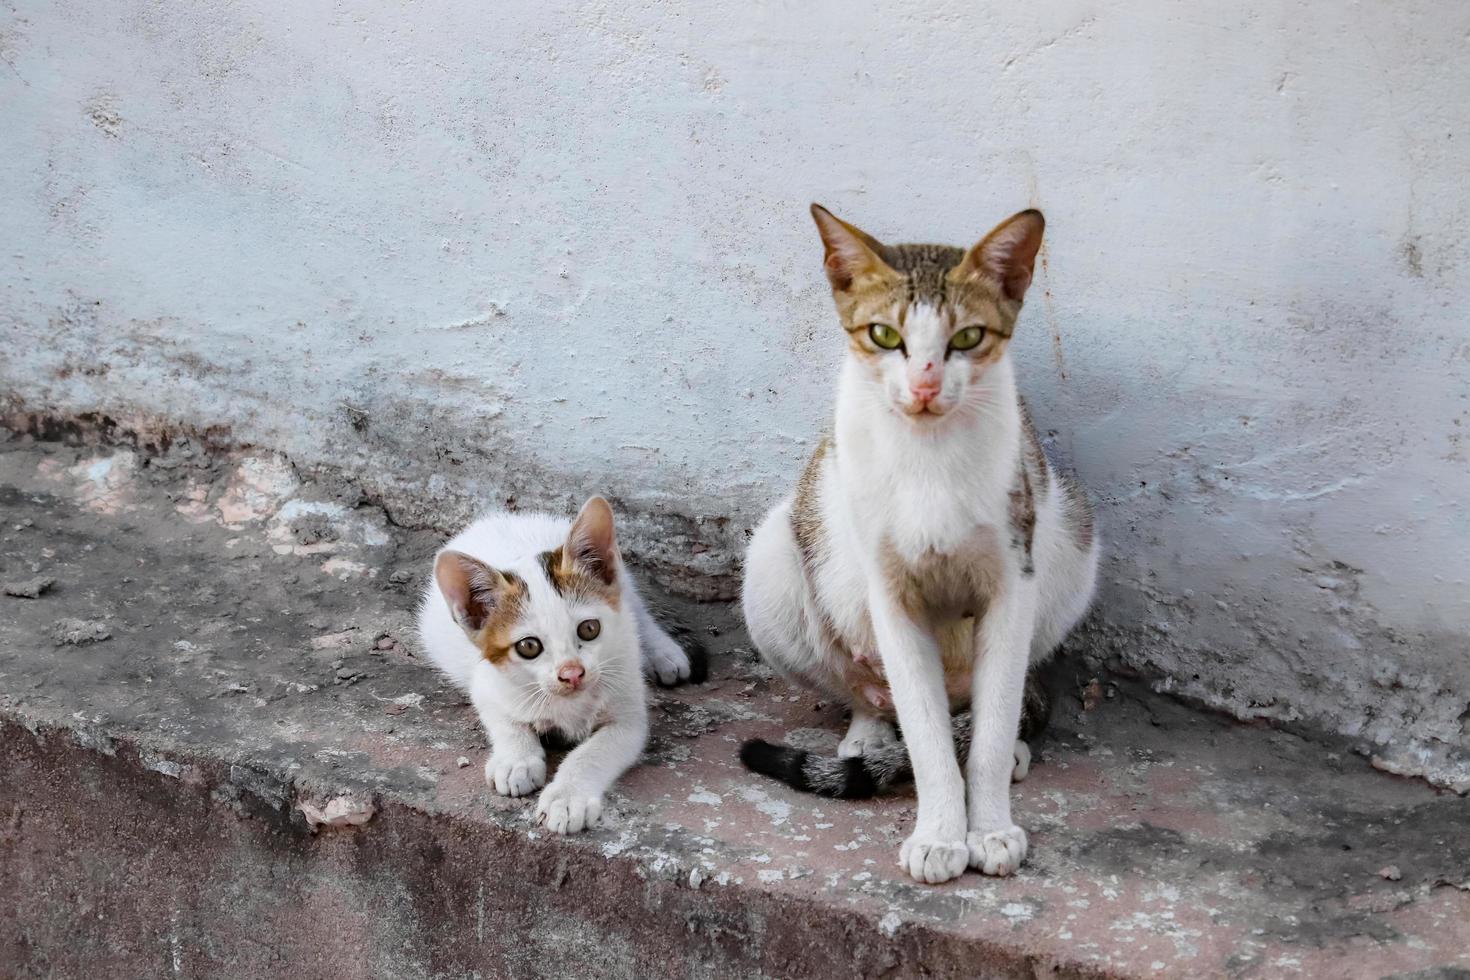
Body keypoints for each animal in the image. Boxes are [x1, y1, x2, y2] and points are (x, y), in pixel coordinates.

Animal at [411, 499, 702, 834]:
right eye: (528, 647)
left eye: (589, 629)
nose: (572, 673)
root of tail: (504, 518)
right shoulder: (487, 683)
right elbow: (505, 721)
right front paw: (516, 761)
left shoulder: (629, 719)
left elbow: (591, 753)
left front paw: (567, 797)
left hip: (624, 586)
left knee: (637, 612)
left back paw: (663, 653)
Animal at [740, 205, 1099, 881]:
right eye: (885, 336)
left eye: (967, 338)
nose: (927, 385)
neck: (929, 456)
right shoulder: (889, 590)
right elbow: (927, 737)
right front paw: (938, 834)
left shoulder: (1015, 576)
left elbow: (988, 732)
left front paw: (989, 827)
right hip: (774, 564)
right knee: (880, 694)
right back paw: (868, 737)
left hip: (1074, 540)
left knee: (996, 702)